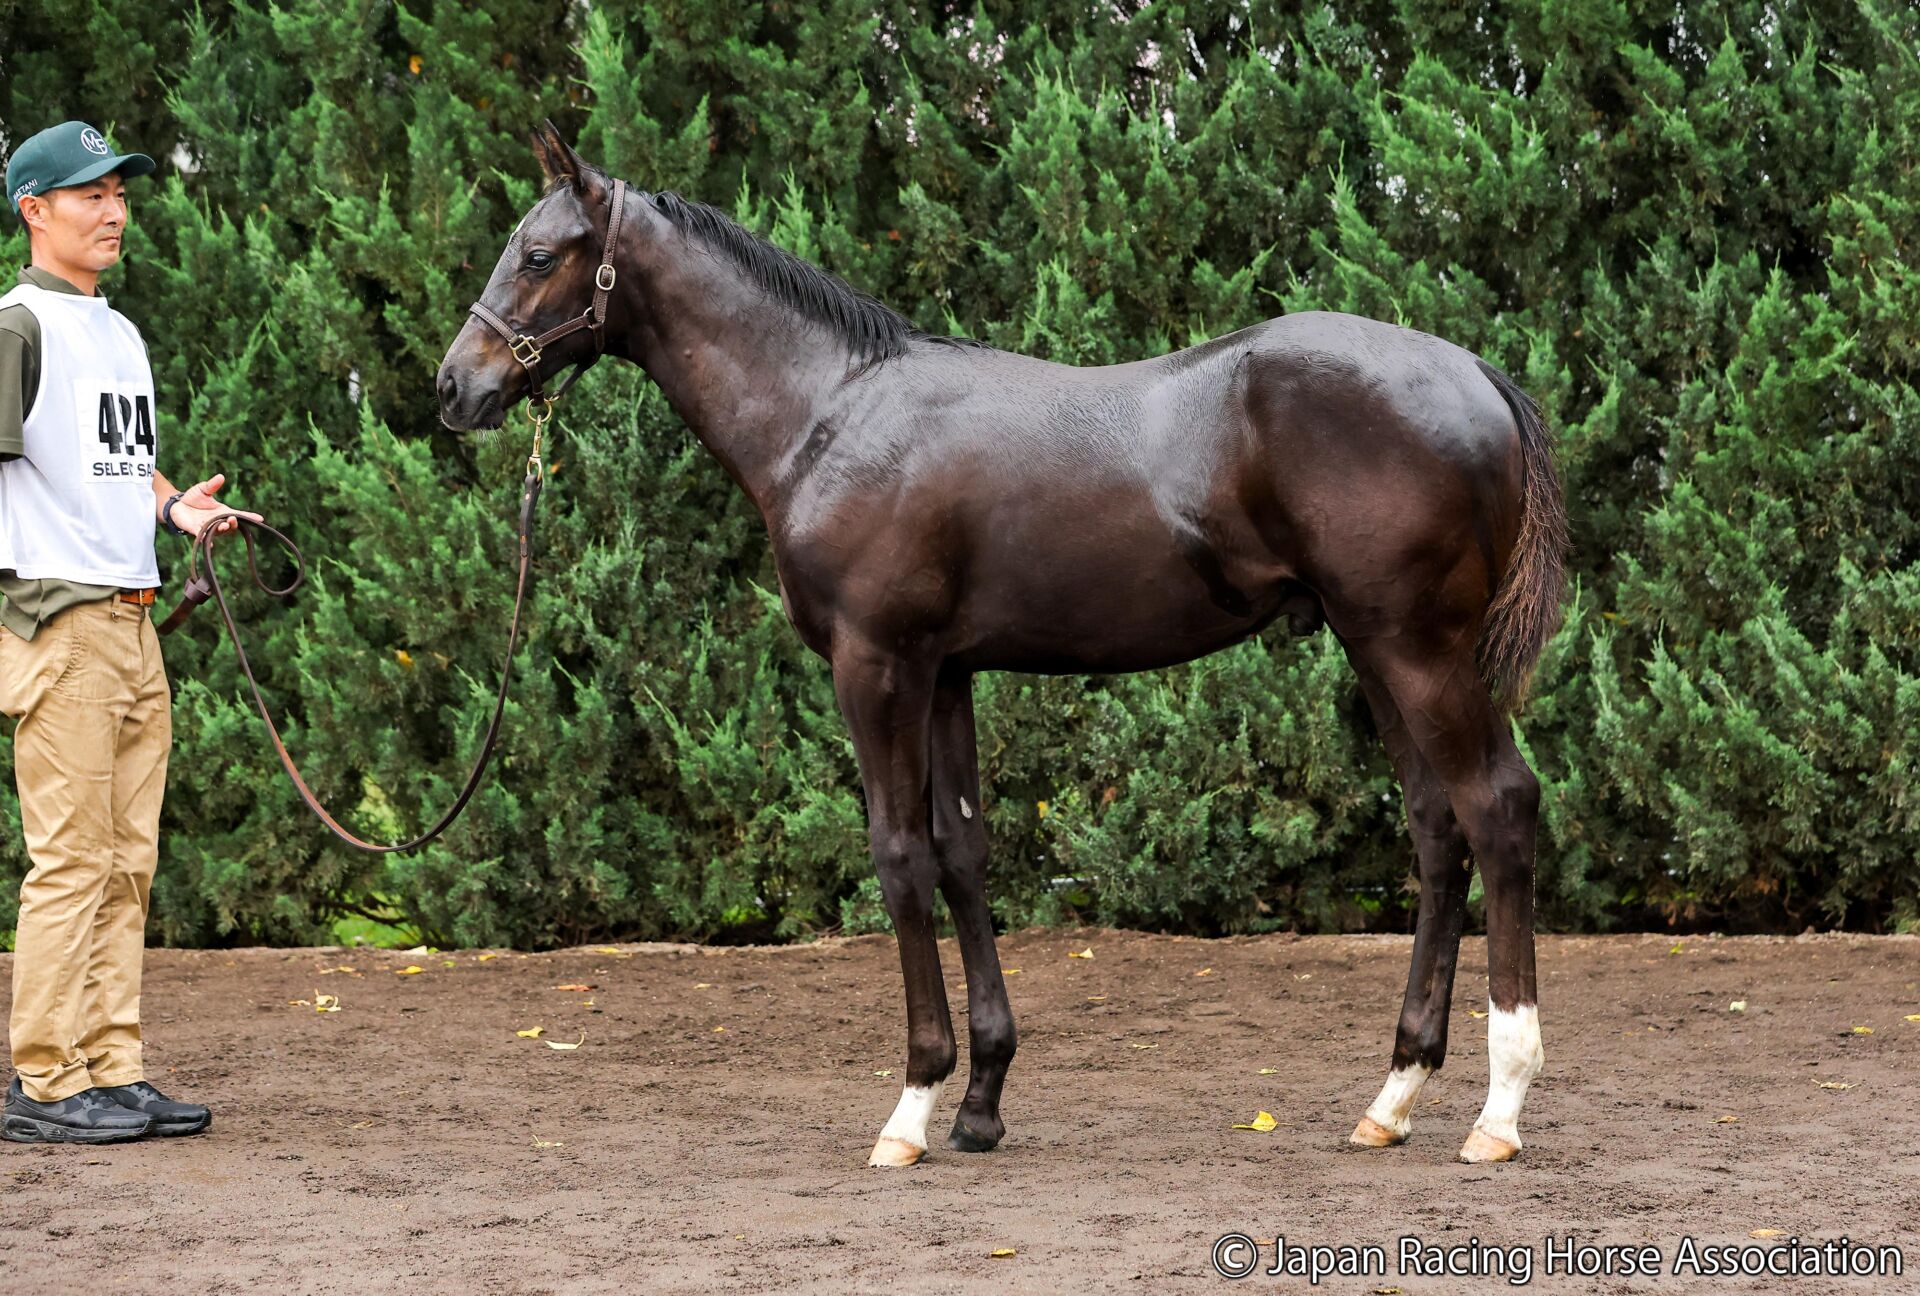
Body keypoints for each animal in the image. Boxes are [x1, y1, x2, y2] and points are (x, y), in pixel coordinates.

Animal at [436, 123, 1568, 1168]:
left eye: (538, 254)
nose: (455, 388)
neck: (831, 411)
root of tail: (1474, 373)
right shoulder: (946, 673)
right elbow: (963, 854)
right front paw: (980, 1100)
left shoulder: (876, 664)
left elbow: (899, 856)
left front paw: (911, 1106)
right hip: (1374, 649)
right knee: (1437, 830)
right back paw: (1394, 1097)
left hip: (1418, 649)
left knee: (1497, 808)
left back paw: (1500, 1109)